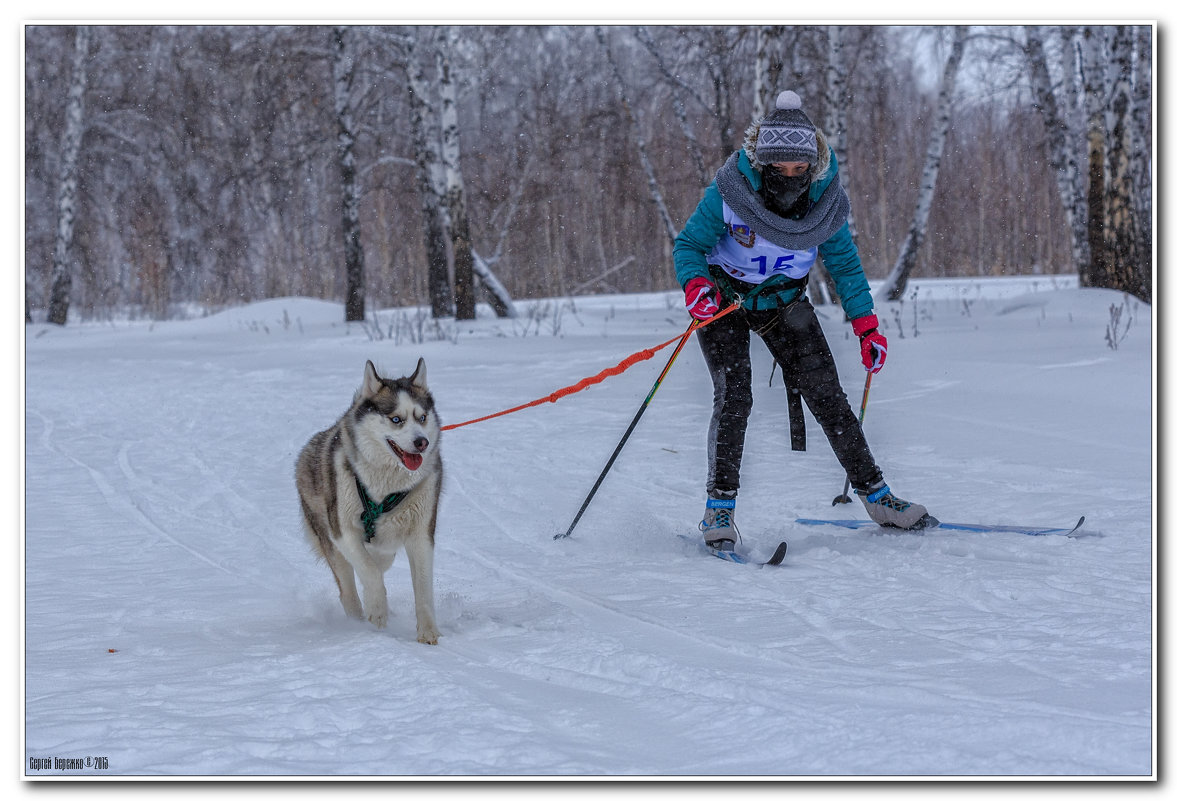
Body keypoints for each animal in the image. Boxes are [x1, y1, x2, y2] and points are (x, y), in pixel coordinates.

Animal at [294, 359, 442, 639]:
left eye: (422, 417)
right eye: (396, 419)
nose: (422, 442)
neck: (387, 485)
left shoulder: (421, 534)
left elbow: (424, 590)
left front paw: (428, 634)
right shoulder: (342, 532)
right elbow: (370, 572)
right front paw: (377, 610)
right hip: (330, 541)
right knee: (349, 591)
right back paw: (358, 622)